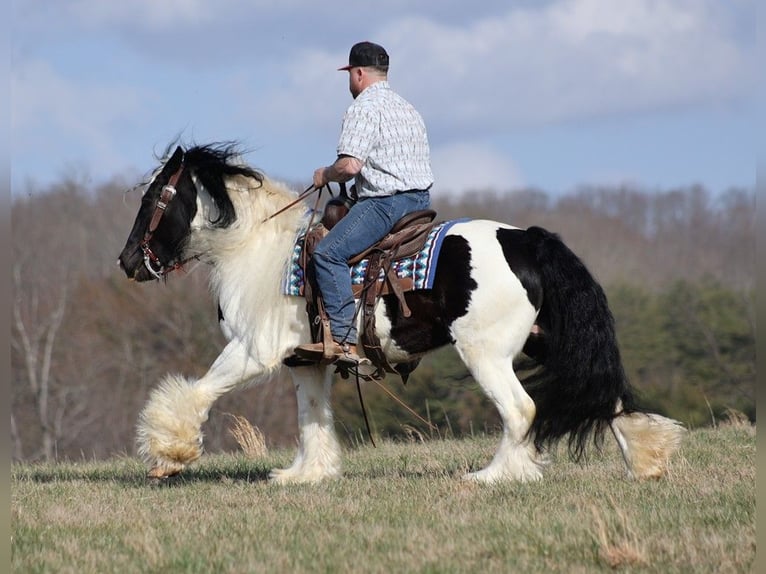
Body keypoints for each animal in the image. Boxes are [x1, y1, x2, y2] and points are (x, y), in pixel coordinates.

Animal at [118, 142, 684, 484]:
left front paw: (168, 455)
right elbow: (312, 418)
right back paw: (647, 461)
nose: (127, 262)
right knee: (605, 397)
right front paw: (307, 475)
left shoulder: (253, 351)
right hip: (547, 342)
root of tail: (527, 239)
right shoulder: (308, 362)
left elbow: (197, 391)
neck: (259, 250)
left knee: (521, 409)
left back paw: (495, 476)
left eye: (154, 200)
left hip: (486, 353)